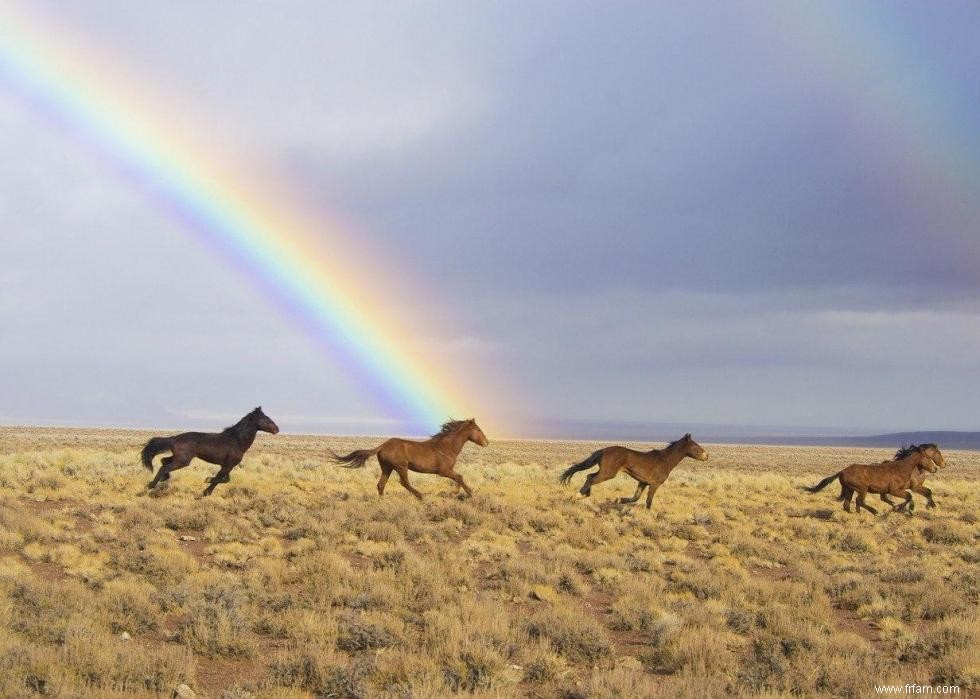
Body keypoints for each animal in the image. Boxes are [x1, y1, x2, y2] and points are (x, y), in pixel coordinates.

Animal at [138, 404, 278, 498]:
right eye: (266, 419)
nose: (277, 429)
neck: (237, 440)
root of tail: (174, 438)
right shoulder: (228, 465)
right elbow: (218, 479)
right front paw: (206, 489)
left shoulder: (227, 466)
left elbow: (225, 479)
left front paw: (207, 483)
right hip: (183, 461)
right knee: (164, 467)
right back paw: (151, 484)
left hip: (179, 458)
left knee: (164, 461)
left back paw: (162, 479)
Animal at [330, 418, 490, 500]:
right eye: (478, 429)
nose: (487, 443)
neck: (447, 446)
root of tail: (382, 446)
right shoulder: (443, 471)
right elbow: (460, 477)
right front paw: (467, 493)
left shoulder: (448, 471)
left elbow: (458, 478)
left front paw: (456, 492)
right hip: (401, 467)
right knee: (404, 483)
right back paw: (421, 496)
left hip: (387, 468)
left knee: (381, 485)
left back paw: (383, 501)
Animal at [560, 432, 712, 508]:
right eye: (695, 446)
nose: (707, 456)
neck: (665, 460)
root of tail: (603, 450)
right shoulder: (654, 484)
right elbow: (648, 502)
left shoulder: (642, 482)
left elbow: (635, 498)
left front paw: (618, 500)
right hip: (608, 473)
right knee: (591, 478)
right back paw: (578, 495)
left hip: (605, 472)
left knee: (589, 476)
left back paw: (584, 495)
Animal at [804, 442, 940, 516]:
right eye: (928, 457)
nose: (935, 469)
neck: (900, 469)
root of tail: (842, 471)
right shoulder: (894, 490)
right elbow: (908, 496)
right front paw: (905, 509)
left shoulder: (893, 491)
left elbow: (906, 497)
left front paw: (900, 508)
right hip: (862, 489)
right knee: (859, 501)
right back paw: (874, 512)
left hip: (850, 489)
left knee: (847, 504)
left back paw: (856, 513)